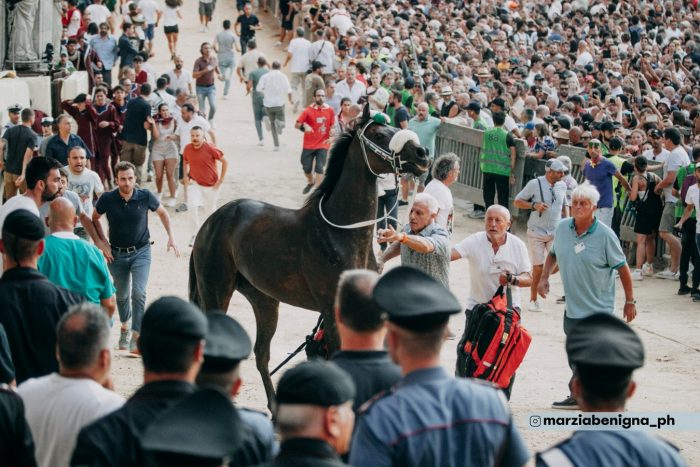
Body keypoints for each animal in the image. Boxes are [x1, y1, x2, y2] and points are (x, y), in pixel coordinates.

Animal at [190, 109, 426, 410]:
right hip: (216, 291)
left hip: (264, 299)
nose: (422, 153)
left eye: (395, 125)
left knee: (261, 354)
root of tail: (212, 221)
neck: (340, 233)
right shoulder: (332, 311)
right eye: (379, 134)